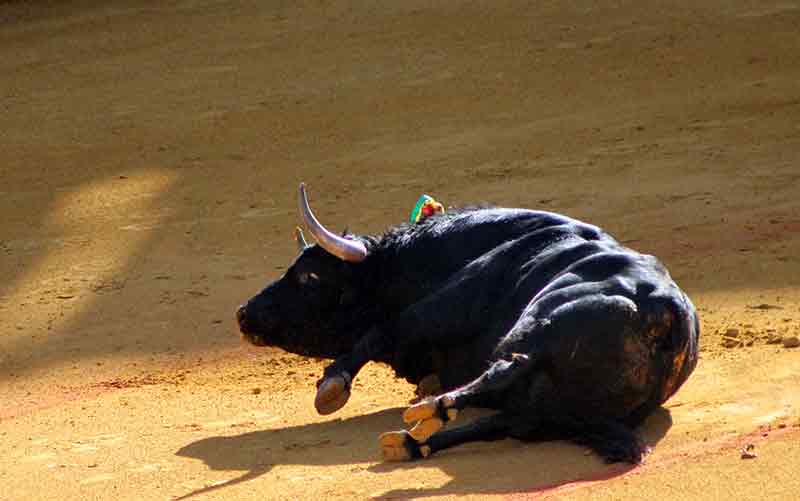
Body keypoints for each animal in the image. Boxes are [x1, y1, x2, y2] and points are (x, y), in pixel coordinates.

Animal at [234, 185, 696, 464]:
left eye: (309, 276)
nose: (243, 314)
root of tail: (665, 311)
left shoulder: (446, 304)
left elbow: (384, 330)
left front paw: (333, 384)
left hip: (538, 326)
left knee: (509, 366)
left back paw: (429, 414)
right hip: (552, 410)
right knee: (505, 419)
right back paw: (411, 441)